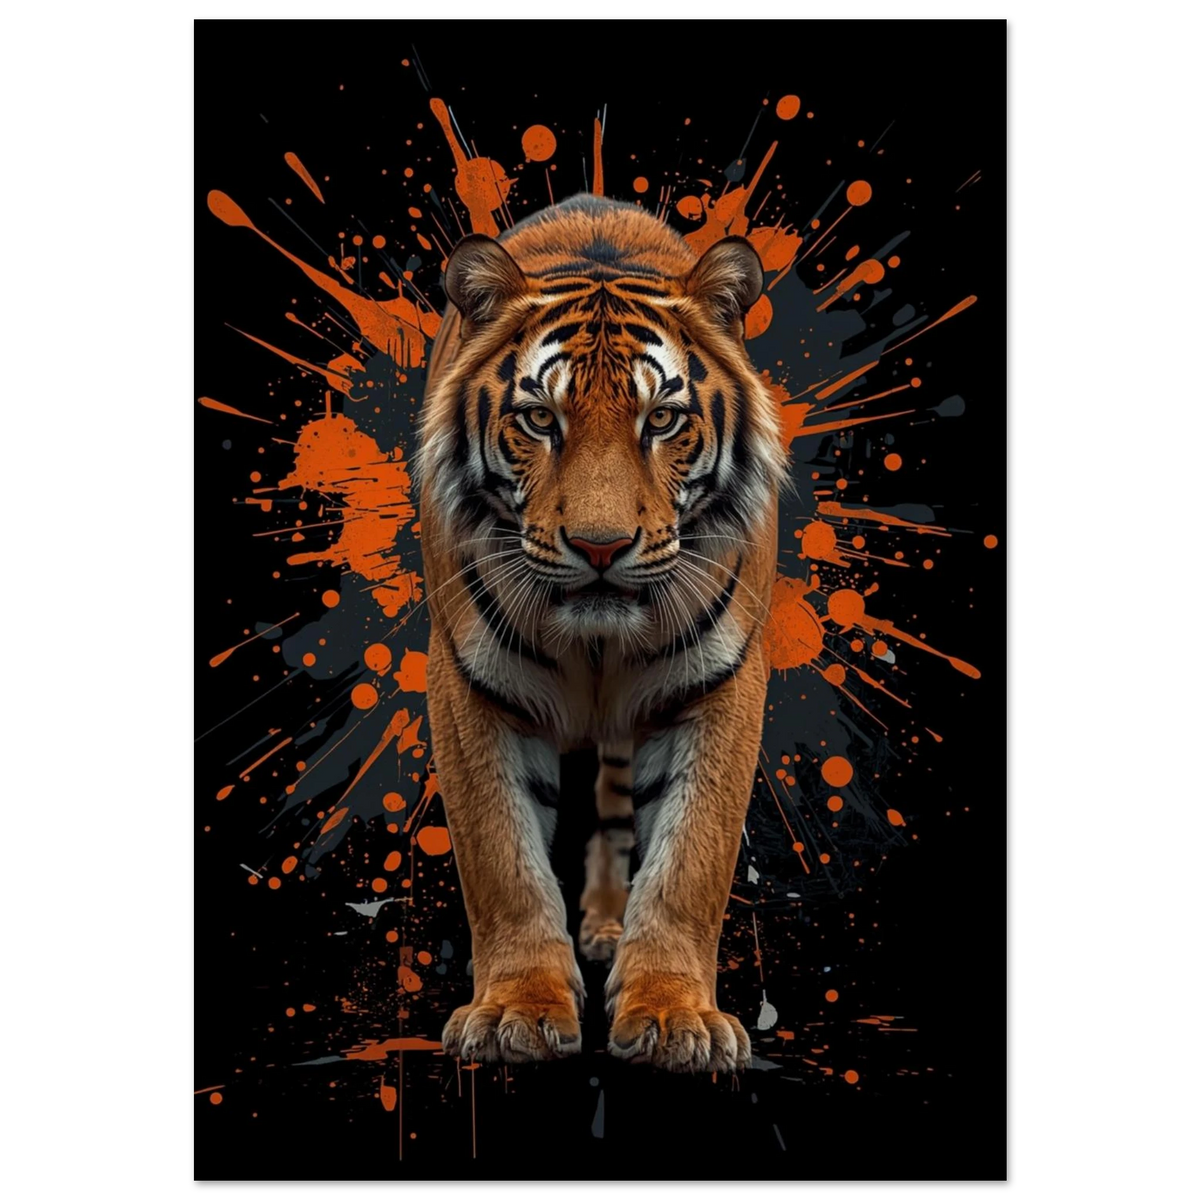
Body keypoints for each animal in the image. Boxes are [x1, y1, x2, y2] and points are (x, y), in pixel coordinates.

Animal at [417, 193, 787, 1073]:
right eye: (537, 419)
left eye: (664, 420)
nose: (599, 546)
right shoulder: (466, 682)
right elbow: (502, 857)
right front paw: (514, 1012)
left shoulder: (724, 681)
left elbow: (690, 860)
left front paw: (674, 1017)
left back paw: (613, 930)